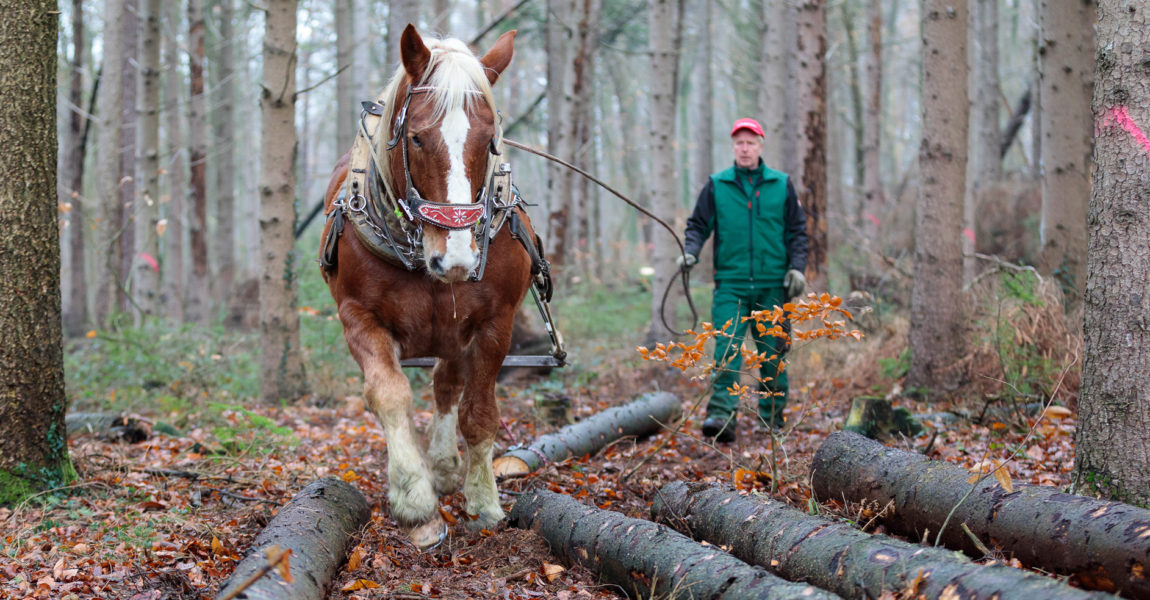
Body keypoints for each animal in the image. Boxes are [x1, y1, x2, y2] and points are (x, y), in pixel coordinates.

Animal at [317, 25, 535, 544]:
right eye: (416, 138)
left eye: (490, 141)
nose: (455, 257)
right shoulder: (358, 317)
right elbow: (390, 395)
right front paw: (414, 500)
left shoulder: (495, 322)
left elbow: (478, 412)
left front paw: (484, 501)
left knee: (446, 384)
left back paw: (445, 462)